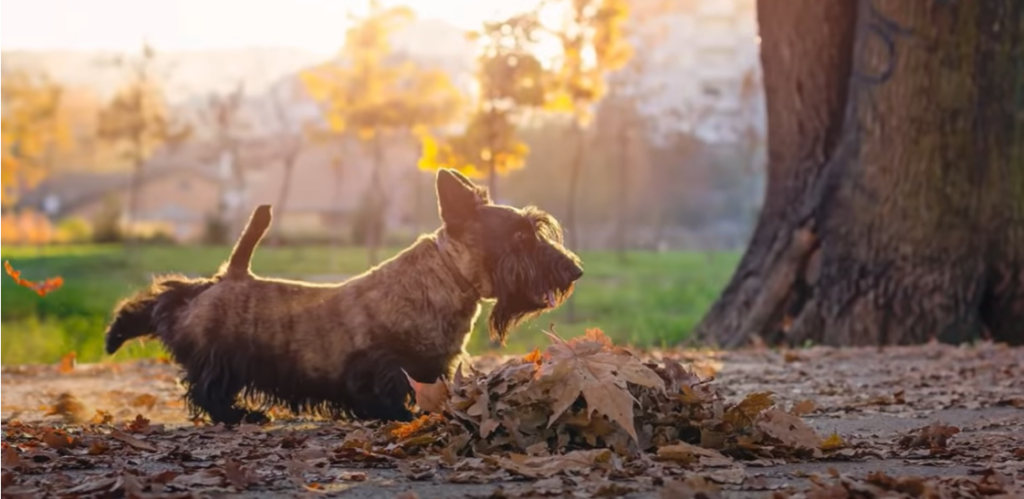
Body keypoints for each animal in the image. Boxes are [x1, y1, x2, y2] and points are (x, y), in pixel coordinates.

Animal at [105, 169, 585, 426]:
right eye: (520, 236)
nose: (574, 271)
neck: (449, 278)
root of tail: (232, 275)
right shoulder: (382, 366)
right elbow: (385, 395)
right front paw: (401, 416)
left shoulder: (433, 368)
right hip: (219, 351)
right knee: (203, 381)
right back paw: (242, 414)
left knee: (169, 300)